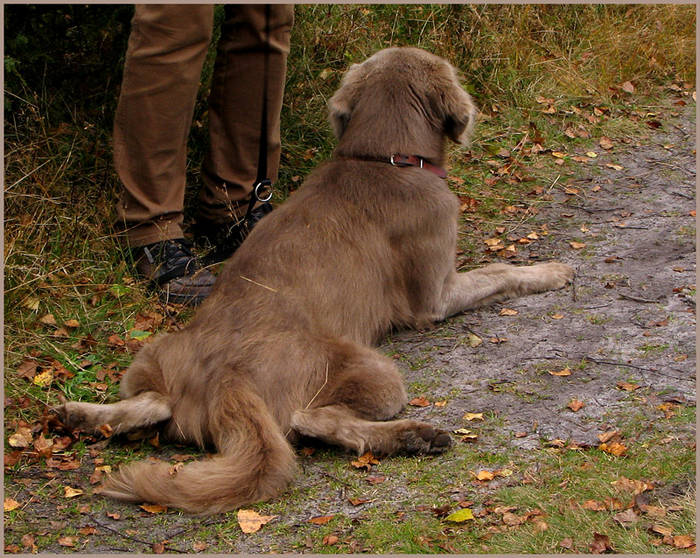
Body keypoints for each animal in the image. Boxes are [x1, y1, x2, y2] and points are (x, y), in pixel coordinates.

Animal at [56, 48, 576, 516]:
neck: (380, 158)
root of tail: (227, 379)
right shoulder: (436, 296)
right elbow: (500, 271)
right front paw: (553, 271)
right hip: (376, 371)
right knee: (309, 419)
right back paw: (413, 436)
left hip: (152, 357)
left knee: (151, 405)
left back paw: (78, 415)